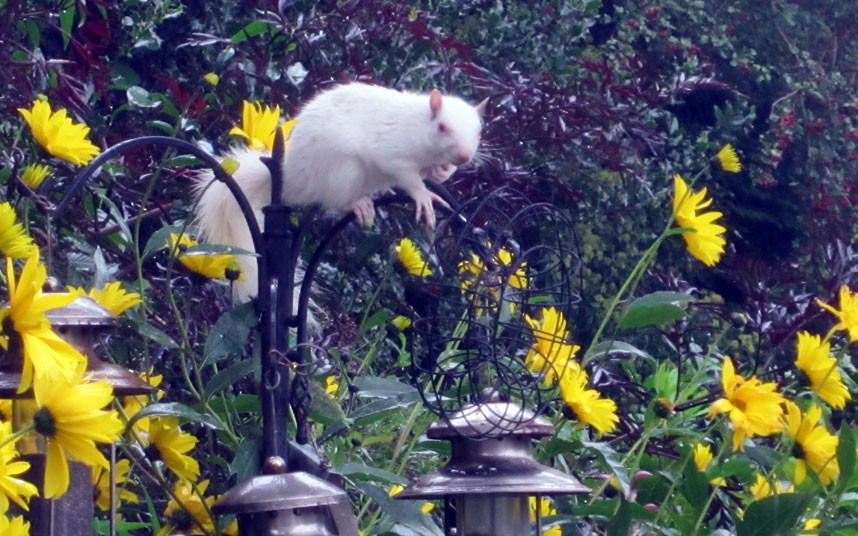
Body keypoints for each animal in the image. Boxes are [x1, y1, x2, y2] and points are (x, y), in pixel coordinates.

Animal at [193, 82, 486, 304]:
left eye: (478, 131)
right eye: (442, 127)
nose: (464, 156)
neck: (419, 126)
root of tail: (293, 178)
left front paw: (443, 171)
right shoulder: (394, 152)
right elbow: (407, 177)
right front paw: (424, 196)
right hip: (343, 173)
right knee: (334, 200)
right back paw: (358, 206)